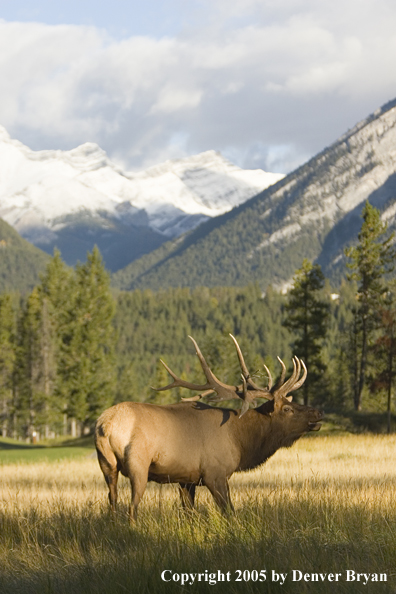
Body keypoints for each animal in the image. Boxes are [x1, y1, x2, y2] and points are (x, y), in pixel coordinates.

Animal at [95, 336, 322, 520]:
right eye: (287, 409)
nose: (318, 413)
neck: (241, 441)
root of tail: (105, 425)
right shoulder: (216, 473)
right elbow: (229, 512)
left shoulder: (186, 479)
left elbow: (189, 513)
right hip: (138, 465)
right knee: (132, 507)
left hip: (107, 465)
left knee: (112, 499)